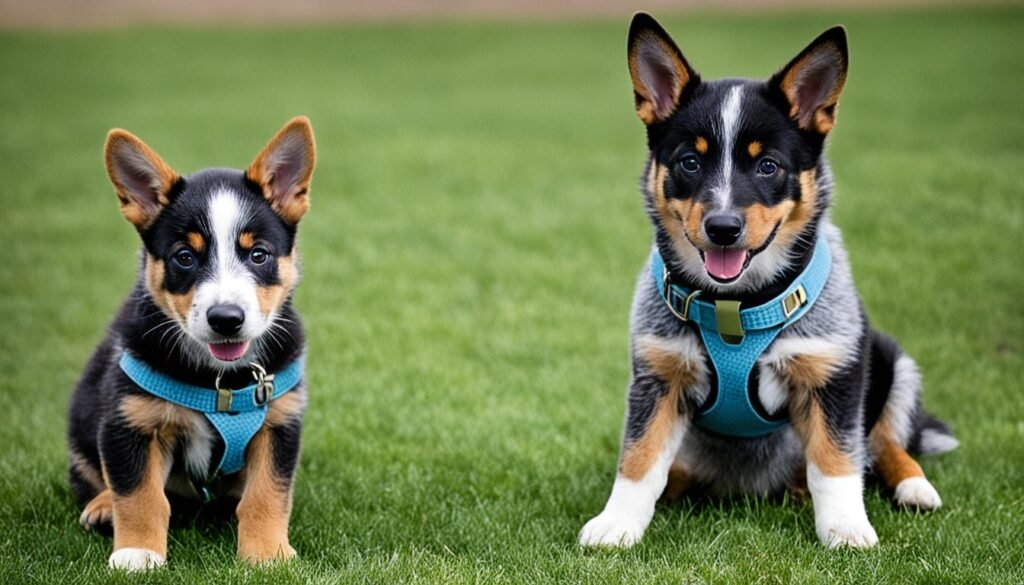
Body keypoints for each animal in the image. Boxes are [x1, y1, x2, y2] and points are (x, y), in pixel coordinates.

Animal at [68, 116, 315, 569]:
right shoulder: (130, 421)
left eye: (258, 255)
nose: (226, 319)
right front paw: (137, 552)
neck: (219, 382)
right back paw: (102, 507)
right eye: (185, 257)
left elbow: (267, 492)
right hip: (82, 419)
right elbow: (138, 494)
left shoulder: (279, 422)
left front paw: (266, 553)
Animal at [585, 14, 958, 553]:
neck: (737, 306)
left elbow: (836, 461)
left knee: (886, 442)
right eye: (690, 162)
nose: (723, 227)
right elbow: (638, 459)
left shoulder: (835, 373)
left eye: (768, 166)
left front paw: (846, 527)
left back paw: (913, 487)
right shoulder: (658, 377)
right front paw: (616, 523)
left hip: (892, 363)